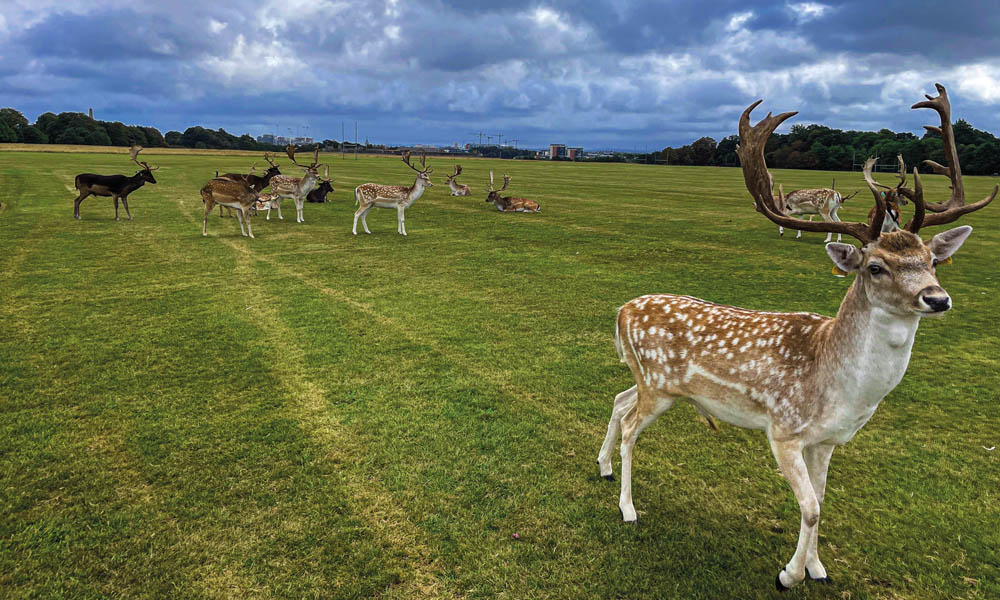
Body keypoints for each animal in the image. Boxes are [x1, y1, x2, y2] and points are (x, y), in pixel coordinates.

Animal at [597, 84, 995, 591]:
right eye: (875, 267)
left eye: (932, 261)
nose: (937, 298)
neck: (838, 389)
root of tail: (623, 309)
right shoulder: (783, 430)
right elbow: (809, 507)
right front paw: (790, 573)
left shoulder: (826, 441)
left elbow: (822, 501)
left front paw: (817, 567)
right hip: (659, 386)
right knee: (631, 426)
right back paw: (628, 507)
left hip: (651, 380)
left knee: (618, 399)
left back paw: (604, 467)